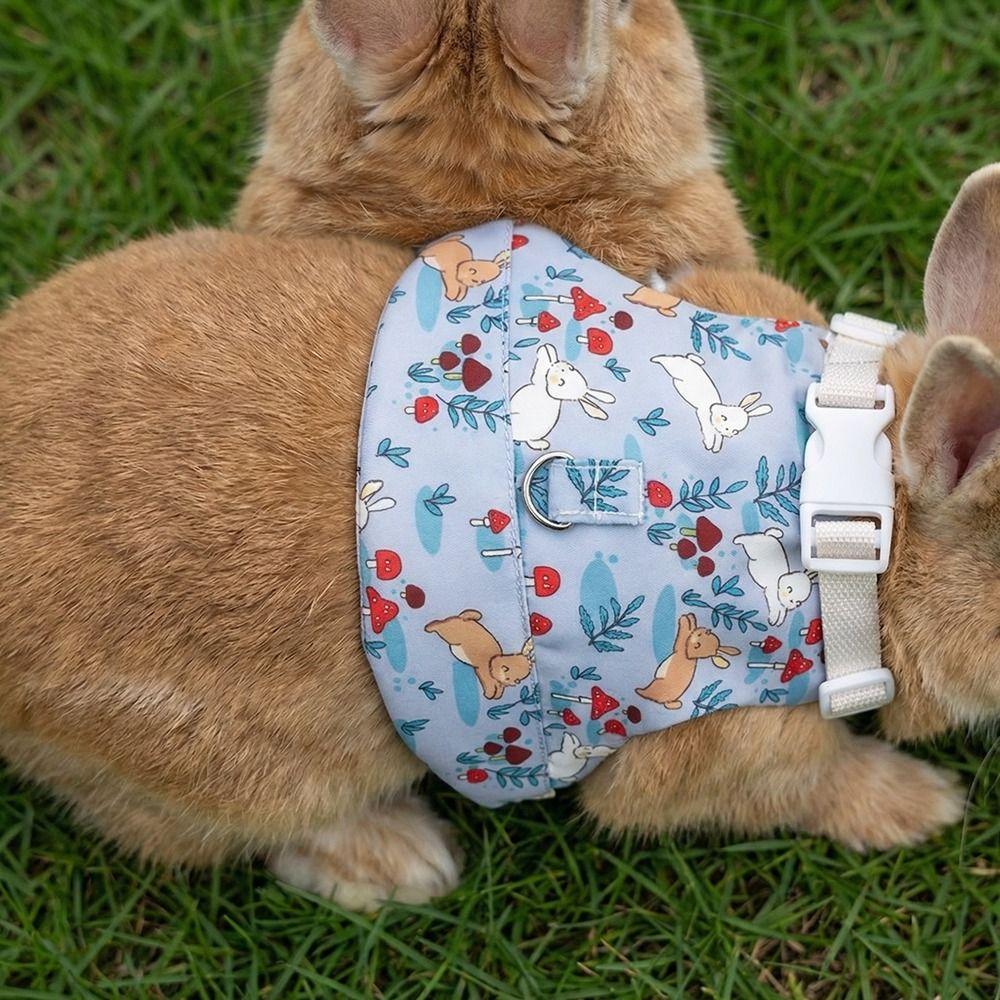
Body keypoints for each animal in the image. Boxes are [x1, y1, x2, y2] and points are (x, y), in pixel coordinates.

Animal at [3, 171, 999, 909]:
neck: (851, 523)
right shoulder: (736, 747)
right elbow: (814, 783)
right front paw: (923, 806)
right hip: (239, 770)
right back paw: (402, 861)